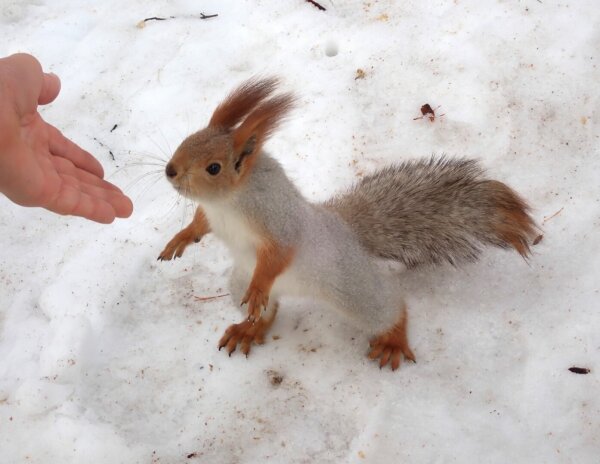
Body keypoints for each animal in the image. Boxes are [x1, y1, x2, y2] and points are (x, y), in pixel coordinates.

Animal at [157, 78, 536, 372]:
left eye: (214, 168)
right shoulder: (211, 214)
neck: (227, 202)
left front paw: (260, 283)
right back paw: (249, 329)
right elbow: (199, 224)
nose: (170, 171)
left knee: (387, 307)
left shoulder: (276, 218)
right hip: (239, 282)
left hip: (352, 287)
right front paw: (180, 238)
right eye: (188, 138)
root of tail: (347, 229)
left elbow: (279, 252)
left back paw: (392, 338)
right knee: (267, 312)